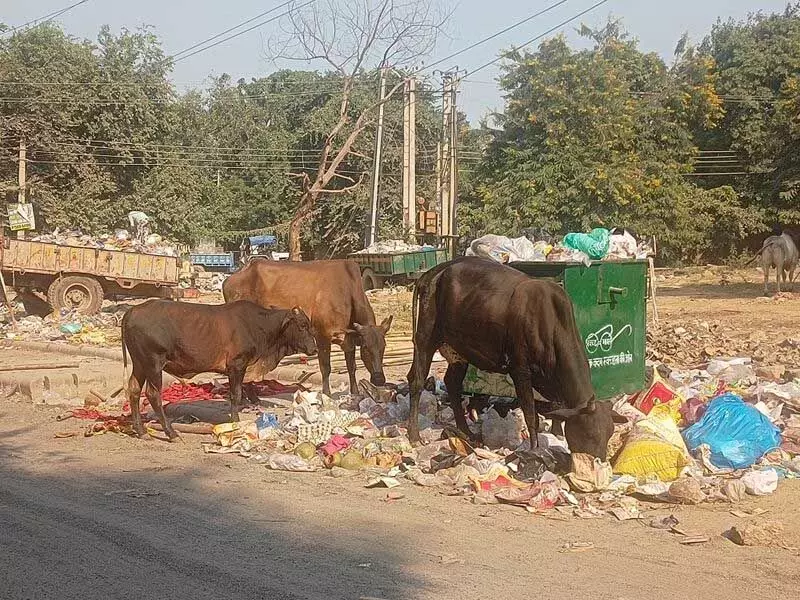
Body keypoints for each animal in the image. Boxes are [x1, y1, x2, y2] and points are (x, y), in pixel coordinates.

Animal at [122, 302, 316, 438]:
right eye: (302, 325)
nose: (314, 349)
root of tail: (132, 311)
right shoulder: (237, 365)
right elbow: (236, 395)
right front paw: (235, 422)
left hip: (140, 363)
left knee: (134, 390)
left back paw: (141, 431)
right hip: (153, 363)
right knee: (153, 394)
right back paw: (171, 433)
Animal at [223, 260, 392, 396]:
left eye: (383, 347)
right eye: (366, 349)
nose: (379, 379)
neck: (347, 292)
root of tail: (230, 279)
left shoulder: (348, 339)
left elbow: (352, 366)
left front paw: (355, 392)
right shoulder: (322, 335)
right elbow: (326, 367)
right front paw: (326, 394)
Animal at [410, 256, 616, 460]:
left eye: (610, 433)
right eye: (589, 434)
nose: (599, 463)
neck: (551, 323)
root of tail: (432, 273)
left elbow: (556, 414)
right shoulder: (520, 370)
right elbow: (531, 415)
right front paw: (534, 449)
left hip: (459, 351)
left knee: (452, 384)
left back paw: (467, 432)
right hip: (425, 339)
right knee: (416, 381)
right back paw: (415, 436)